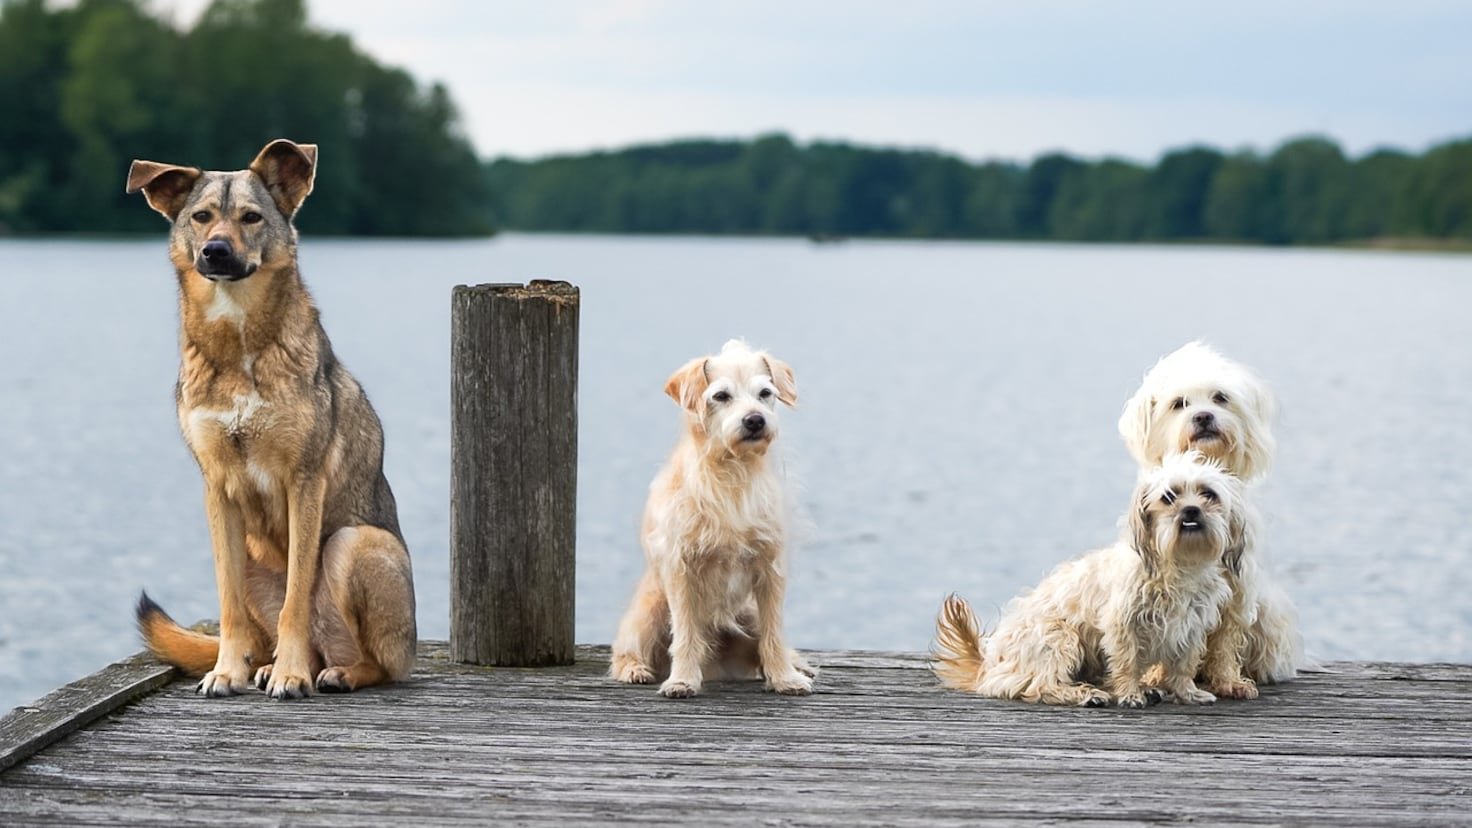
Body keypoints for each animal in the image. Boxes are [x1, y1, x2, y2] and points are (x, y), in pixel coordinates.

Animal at [125, 139, 420, 695]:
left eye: (251, 217)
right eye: (200, 217)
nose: (215, 251)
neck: (238, 340)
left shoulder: (303, 481)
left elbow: (295, 602)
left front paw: (291, 674)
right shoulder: (217, 488)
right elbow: (228, 608)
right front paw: (227, 670)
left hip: (355, 544)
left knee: (377, 662)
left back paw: (332, 672)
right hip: (252, 556)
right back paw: (263, 666)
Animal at [609, 338, 818, 692]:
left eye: (765, 393)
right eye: (721, 396)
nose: (755, 420)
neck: (734, 469)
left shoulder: (770, 567)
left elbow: (774, 632)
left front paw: (784, 677)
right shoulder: (681, 569)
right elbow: (685, 633)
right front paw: (682, 680)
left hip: (747, 612)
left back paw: (795, 665)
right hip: (650, 610)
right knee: (626, 649)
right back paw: (634, 669)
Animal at [930, 450, 1242, 710]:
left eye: (1208, 494)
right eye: (1169, 496)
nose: (1191, 510)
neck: (1179, 563)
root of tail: (990, 665)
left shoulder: (1191, 627)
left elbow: (1182, 665)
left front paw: (1186, 692)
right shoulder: (1122, 624)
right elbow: (1126, 661)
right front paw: (1130, 694)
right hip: (1059, 635)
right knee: (1039, 685)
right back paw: (1086, 694)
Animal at [1118, 338, 1307, 692]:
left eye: (1220, 397)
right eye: (1179, 404)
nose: (1204, 416)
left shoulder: (1237, 586)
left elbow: (1226, 640)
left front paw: (1228, 680)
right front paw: (1155, 675)